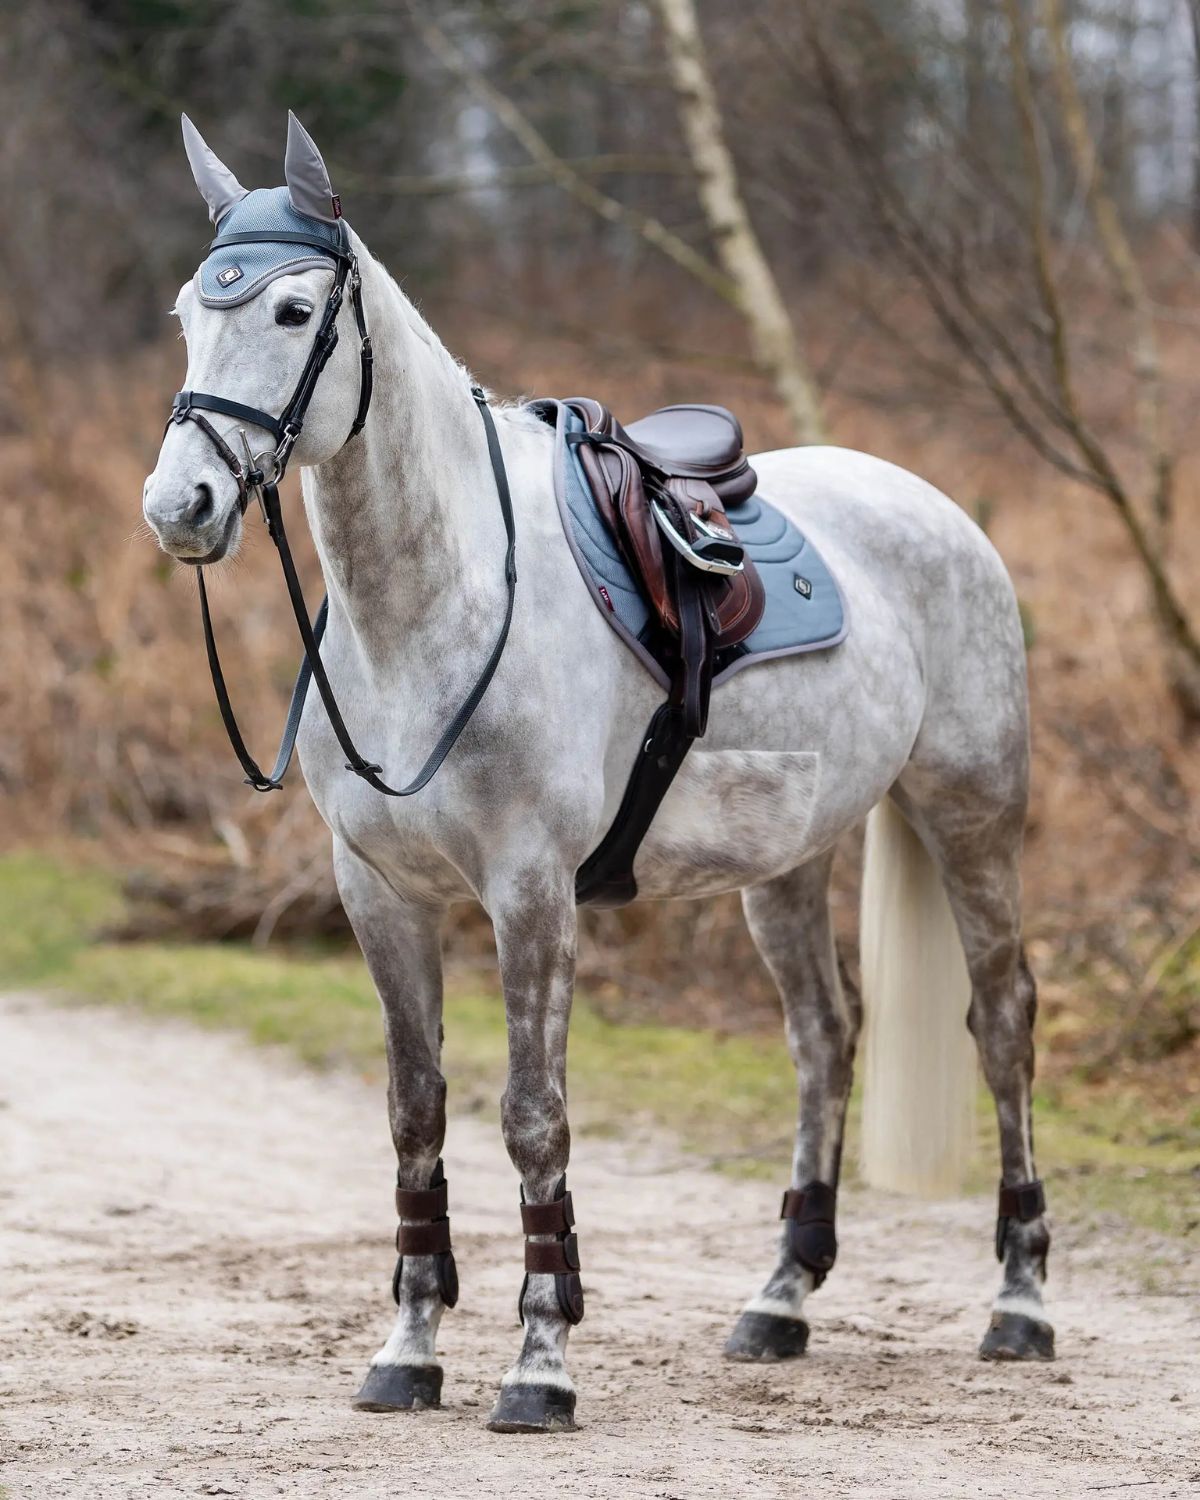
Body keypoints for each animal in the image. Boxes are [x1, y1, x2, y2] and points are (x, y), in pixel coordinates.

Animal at [142, 113, 1053, 1434]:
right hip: (786, 862)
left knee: (1005, 1021)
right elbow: (416, 1113)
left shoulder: (530, 893)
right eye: (188, 312)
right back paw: (780, 1300)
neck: (436, 608)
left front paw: (539, 1365)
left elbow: (534, 1119)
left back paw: (1020, 1305)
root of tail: (935, 507)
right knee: (824, 1037)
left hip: (971, 819)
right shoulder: (380, 893)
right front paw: (408, 1351)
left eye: (293, 310)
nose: (183, 504)